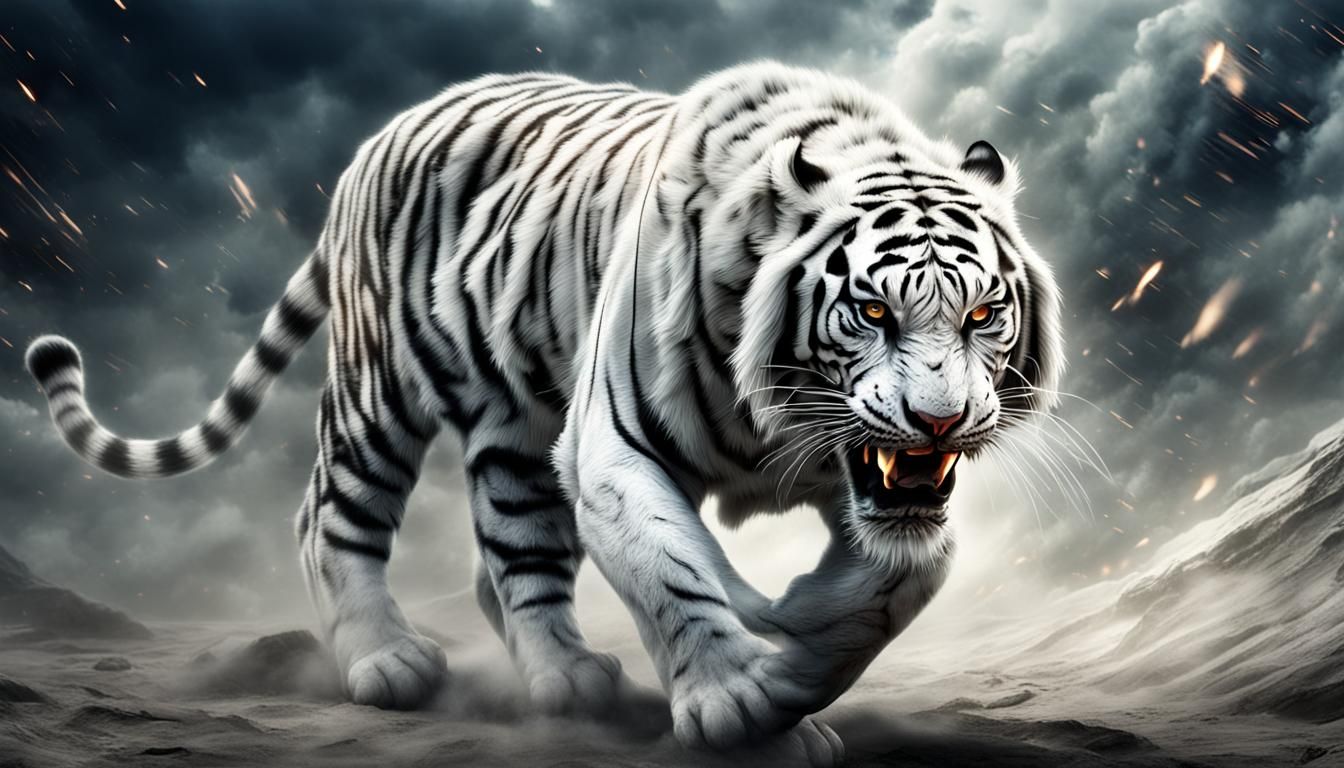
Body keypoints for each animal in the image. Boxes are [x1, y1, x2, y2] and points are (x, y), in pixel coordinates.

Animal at [25, 61, 1061, 763]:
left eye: (982, 313)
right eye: (874, 311)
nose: (939, 422)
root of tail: (381, 138)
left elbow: (899, 581)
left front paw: (796, 640)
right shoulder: (615, 450)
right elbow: (673, 572)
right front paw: (740, 700)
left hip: (519, 434)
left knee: (510, 560)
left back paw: (564, 675)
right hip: (381, 396)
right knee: (329, 516)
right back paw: (387, 660)